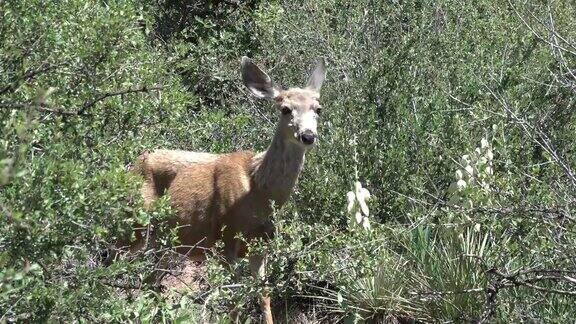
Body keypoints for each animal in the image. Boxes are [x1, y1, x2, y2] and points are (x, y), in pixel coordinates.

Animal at [132, 57, 326, 322]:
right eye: (285, 109)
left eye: (318, 109)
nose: (308, 135)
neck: (257, 191)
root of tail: (134, 162)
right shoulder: (227, 239)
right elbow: (235, 300)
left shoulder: (261, 245)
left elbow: (263, 295)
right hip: (134, 226)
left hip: (165, 242)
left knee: (151, 282)